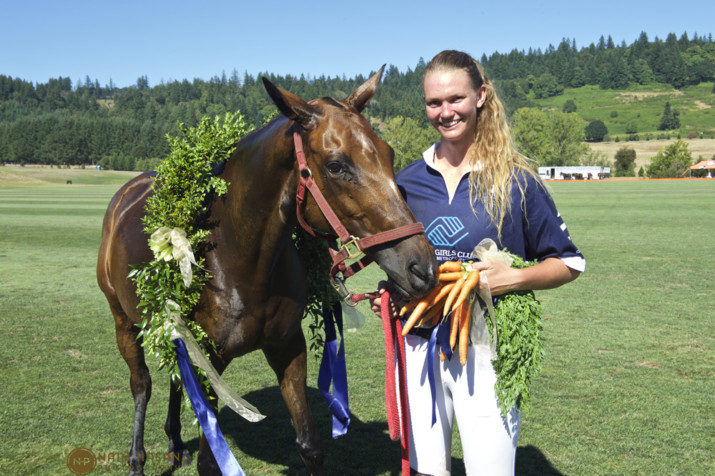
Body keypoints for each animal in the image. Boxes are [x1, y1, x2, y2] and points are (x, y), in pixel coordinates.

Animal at [97, 68, 440, 476]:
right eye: (336, 165)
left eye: (389, 154)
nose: (421, 267)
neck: (238, 260)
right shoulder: (210, 361)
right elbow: (210, 460)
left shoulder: (287, 347)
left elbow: (310, 444)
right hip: (123, 321)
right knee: (141, 384)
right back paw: (137, 458)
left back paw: (175, 441)